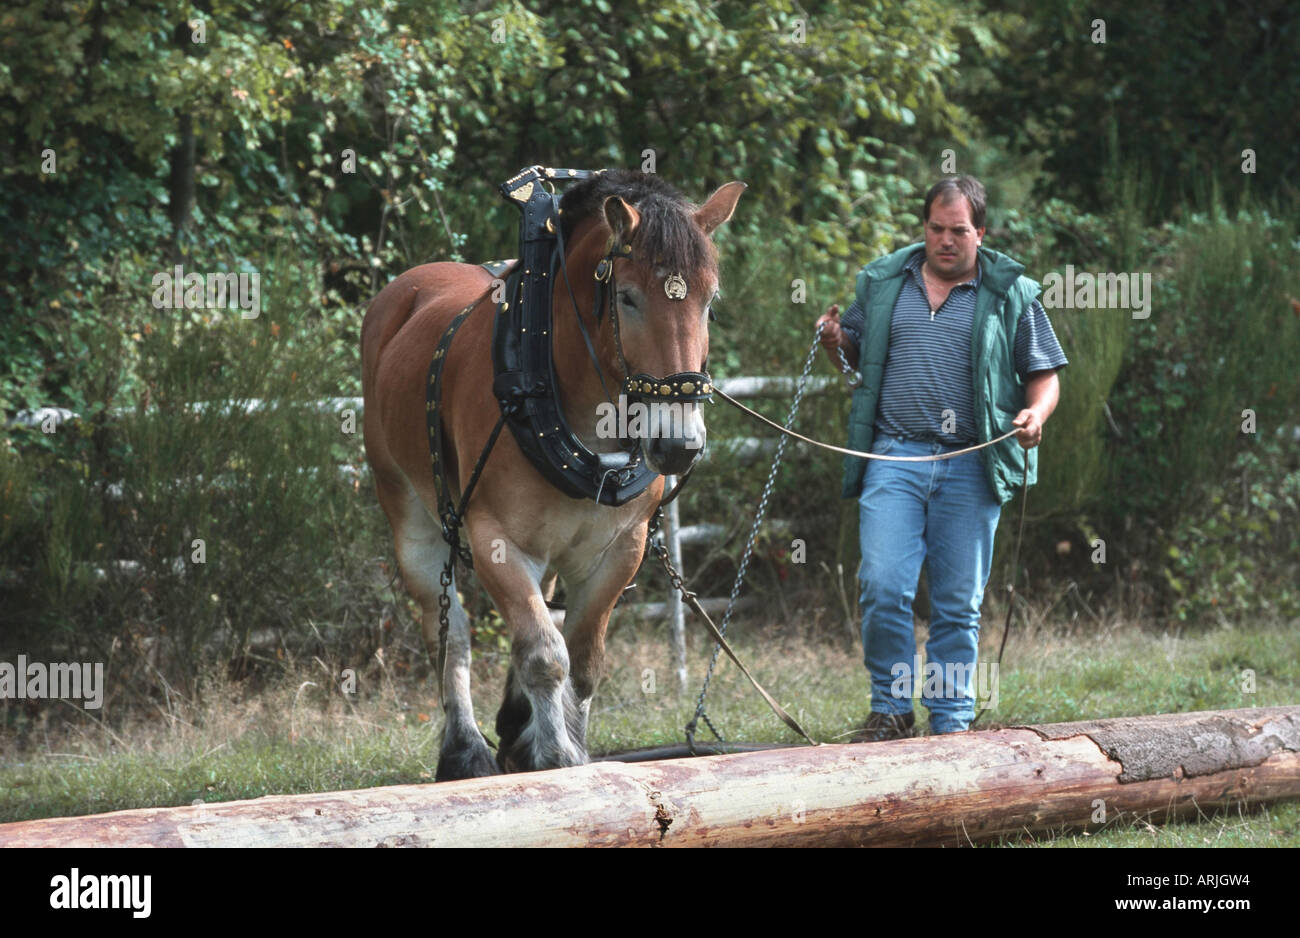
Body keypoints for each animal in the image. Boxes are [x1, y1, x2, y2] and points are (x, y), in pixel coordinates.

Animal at [361, 169, 745, 779]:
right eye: (627, 297)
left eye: (709, 299)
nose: (678, 443)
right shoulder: (495, 540)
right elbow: (544, 653)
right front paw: (556, 756)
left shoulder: (621, 549)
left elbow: (582, 659)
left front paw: (560, 745)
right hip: (406, 510)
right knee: (450, 630)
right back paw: (465, 748)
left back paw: (516, 725)